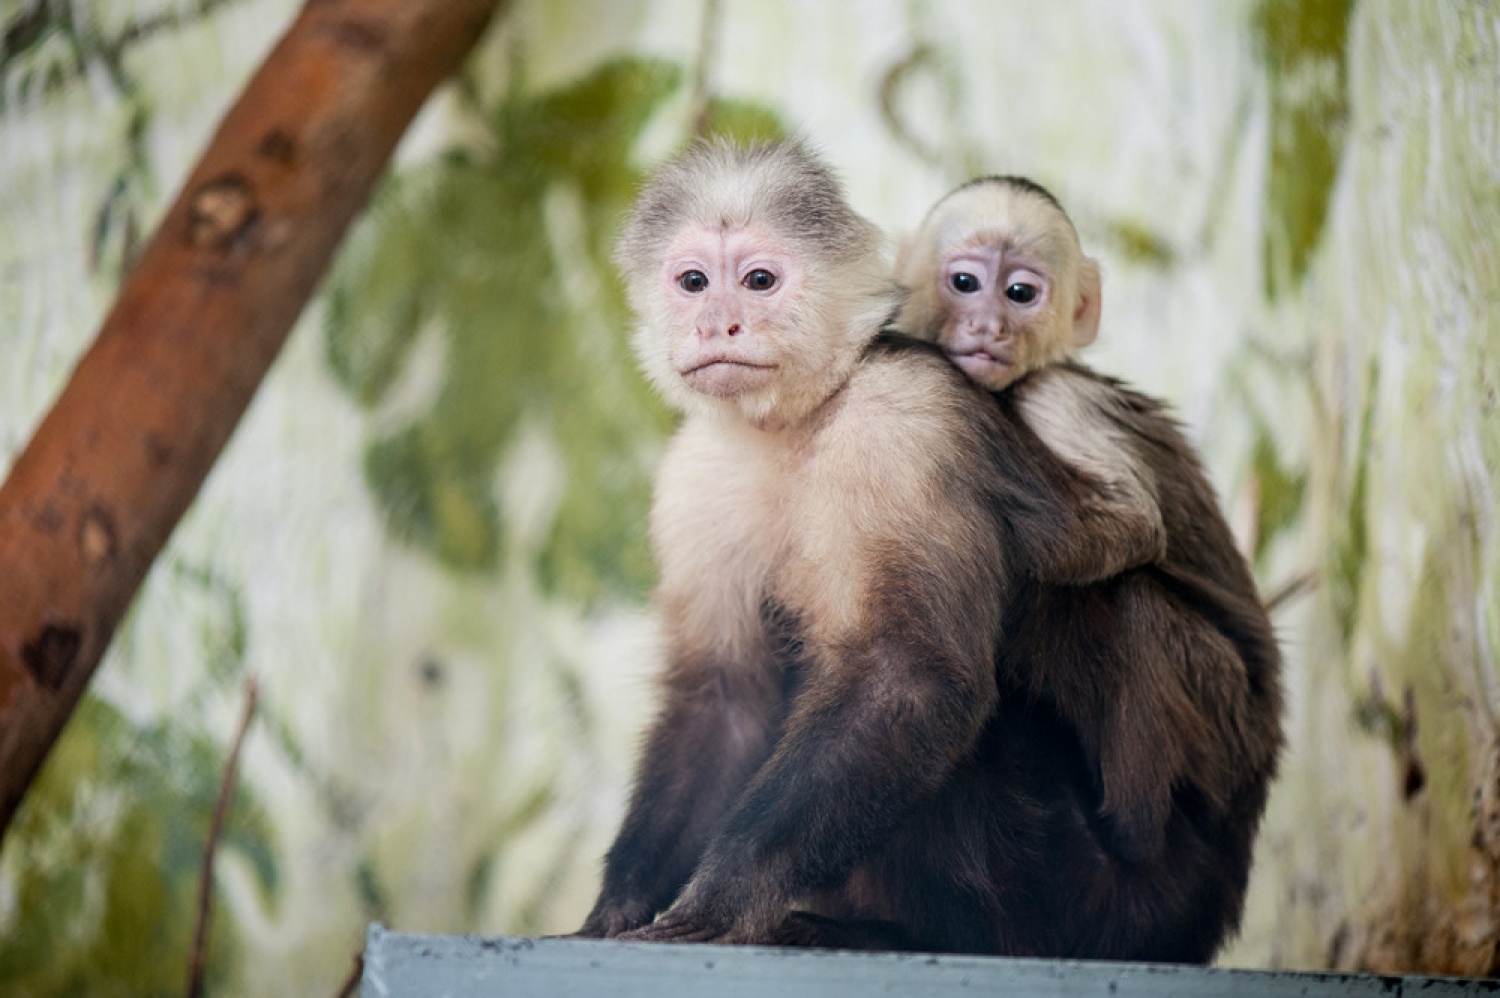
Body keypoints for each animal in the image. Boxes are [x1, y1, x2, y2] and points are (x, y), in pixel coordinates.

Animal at [579, 140, 1284, 960]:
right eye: (693, 282)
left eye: (758, 281)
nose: (718, 324)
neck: (799, 421)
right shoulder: (696, 471)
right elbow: (724, 697)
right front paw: (615, 911)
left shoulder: (907, 418)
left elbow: (909, 676)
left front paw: (725, 900)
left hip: (1108, 887)